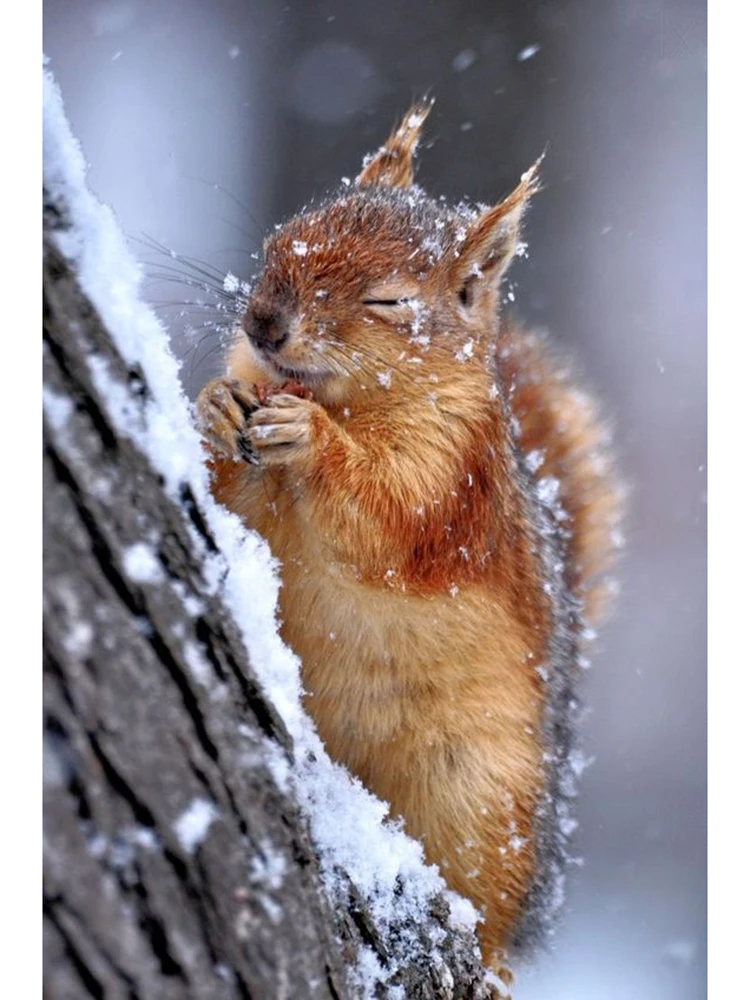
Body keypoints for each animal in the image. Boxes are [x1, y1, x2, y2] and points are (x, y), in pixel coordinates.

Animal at [196, 102, 621, 982]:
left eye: (390, 301)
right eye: (283, 237)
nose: (263, 323)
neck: (343, 399)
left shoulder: (452, 479)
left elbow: (388, 518)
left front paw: (314, 442)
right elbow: (234, 491)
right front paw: (218, 404)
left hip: (476, 794)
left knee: (488, 913)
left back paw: (491, 964)